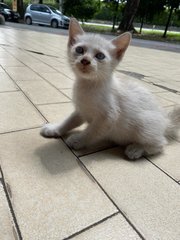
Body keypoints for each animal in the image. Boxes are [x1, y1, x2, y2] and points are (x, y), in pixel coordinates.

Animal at [40, 18, 180, 159]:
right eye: (79, 50)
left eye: (100, 56)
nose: (85, 60)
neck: (88, 86)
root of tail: (166, 122)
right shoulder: (81, 110)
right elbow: (70, 121)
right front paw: (55, 129)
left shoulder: (108, 117)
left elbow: (91, 131)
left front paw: (78, 140)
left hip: (144, 124)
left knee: (161, 144)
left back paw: (136, 149)